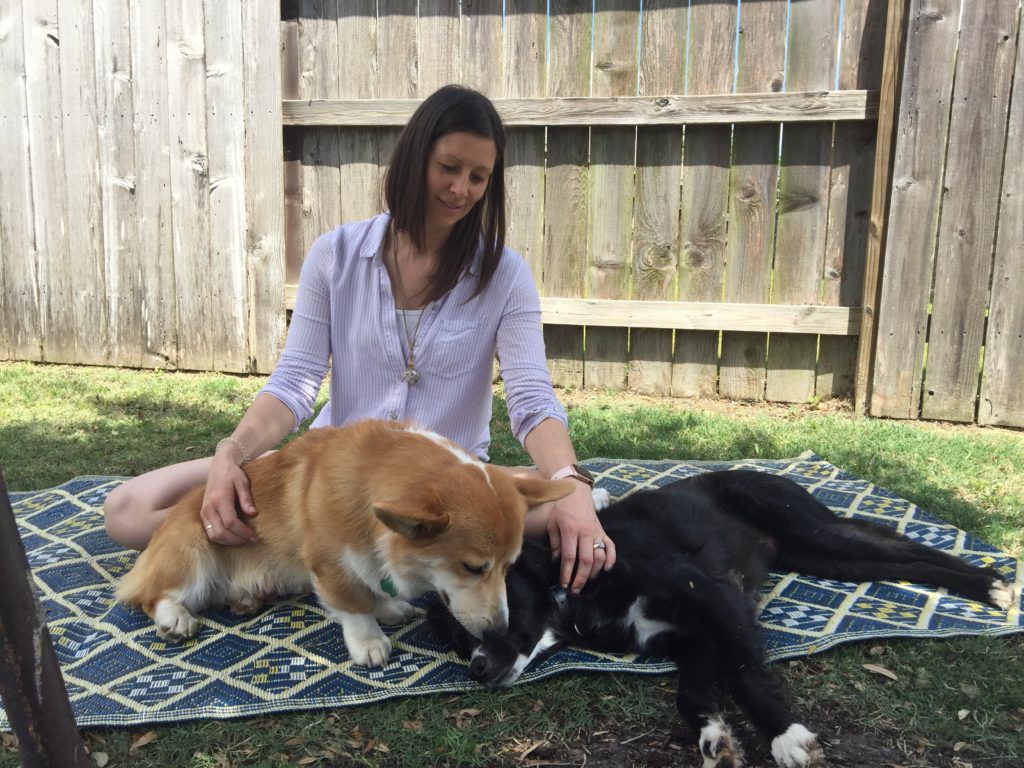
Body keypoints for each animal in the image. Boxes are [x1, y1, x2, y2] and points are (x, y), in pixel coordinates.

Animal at [428, 473, 1011, 765]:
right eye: (455, 642)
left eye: (480, 616)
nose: (475, 669)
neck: (572, 588)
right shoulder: (691, 641)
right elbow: (693, 695)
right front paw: (715, 739)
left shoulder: (717, 601)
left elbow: (747, 675)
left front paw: (786, 736)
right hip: (824, 559)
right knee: (903, 562)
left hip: (815, 533)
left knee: (909, 549)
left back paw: (990, 582)